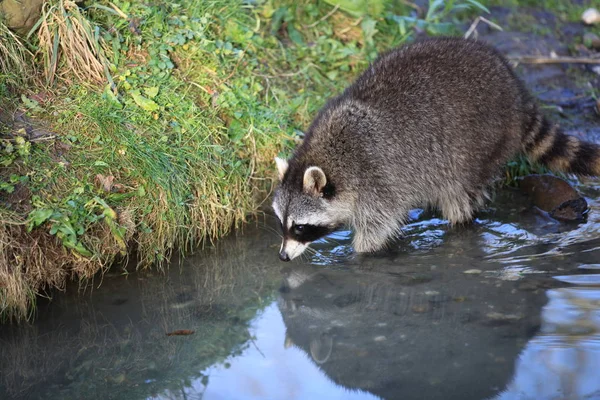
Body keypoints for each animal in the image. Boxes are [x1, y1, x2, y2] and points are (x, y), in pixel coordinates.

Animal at [272, 36, 600, 262]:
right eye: (281, 223)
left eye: (300, 228)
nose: (283, 257)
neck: (330, 156)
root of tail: (517, 92)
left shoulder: (376, 181)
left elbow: (378, 226)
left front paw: (360, 256)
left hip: (480, 146)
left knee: (461, 196)